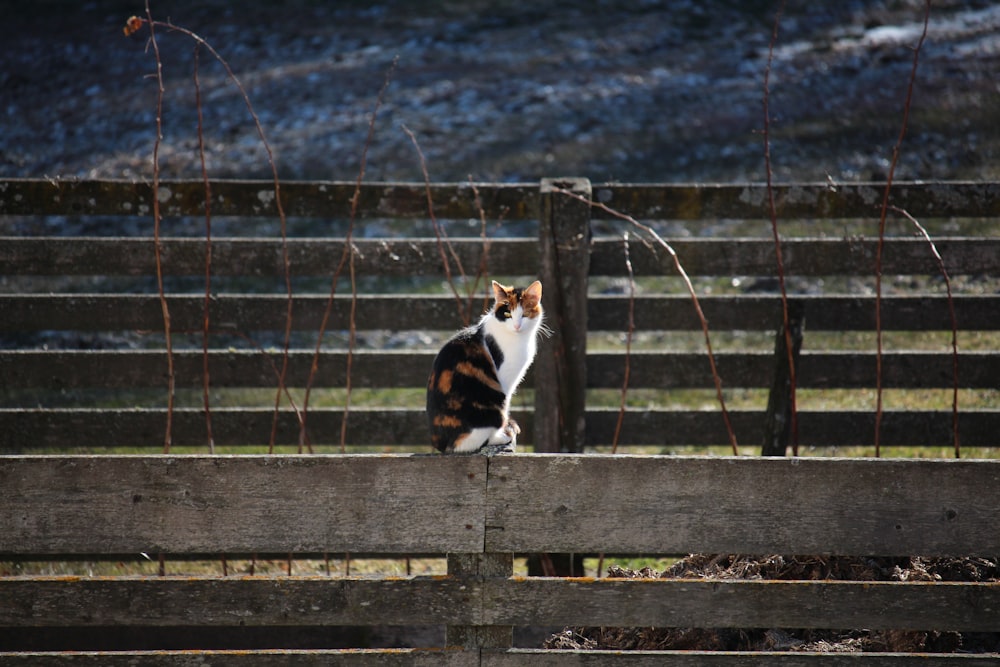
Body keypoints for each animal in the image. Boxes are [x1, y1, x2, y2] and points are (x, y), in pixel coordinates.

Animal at [424, 280, 544, 456]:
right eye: (507, 314)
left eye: (525, 313)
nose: (516, 326)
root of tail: (440, 444)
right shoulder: (505, 381)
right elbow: (507, 406)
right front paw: (507, 429)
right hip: (491, 406)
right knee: (464, 444)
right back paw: (500, 437)